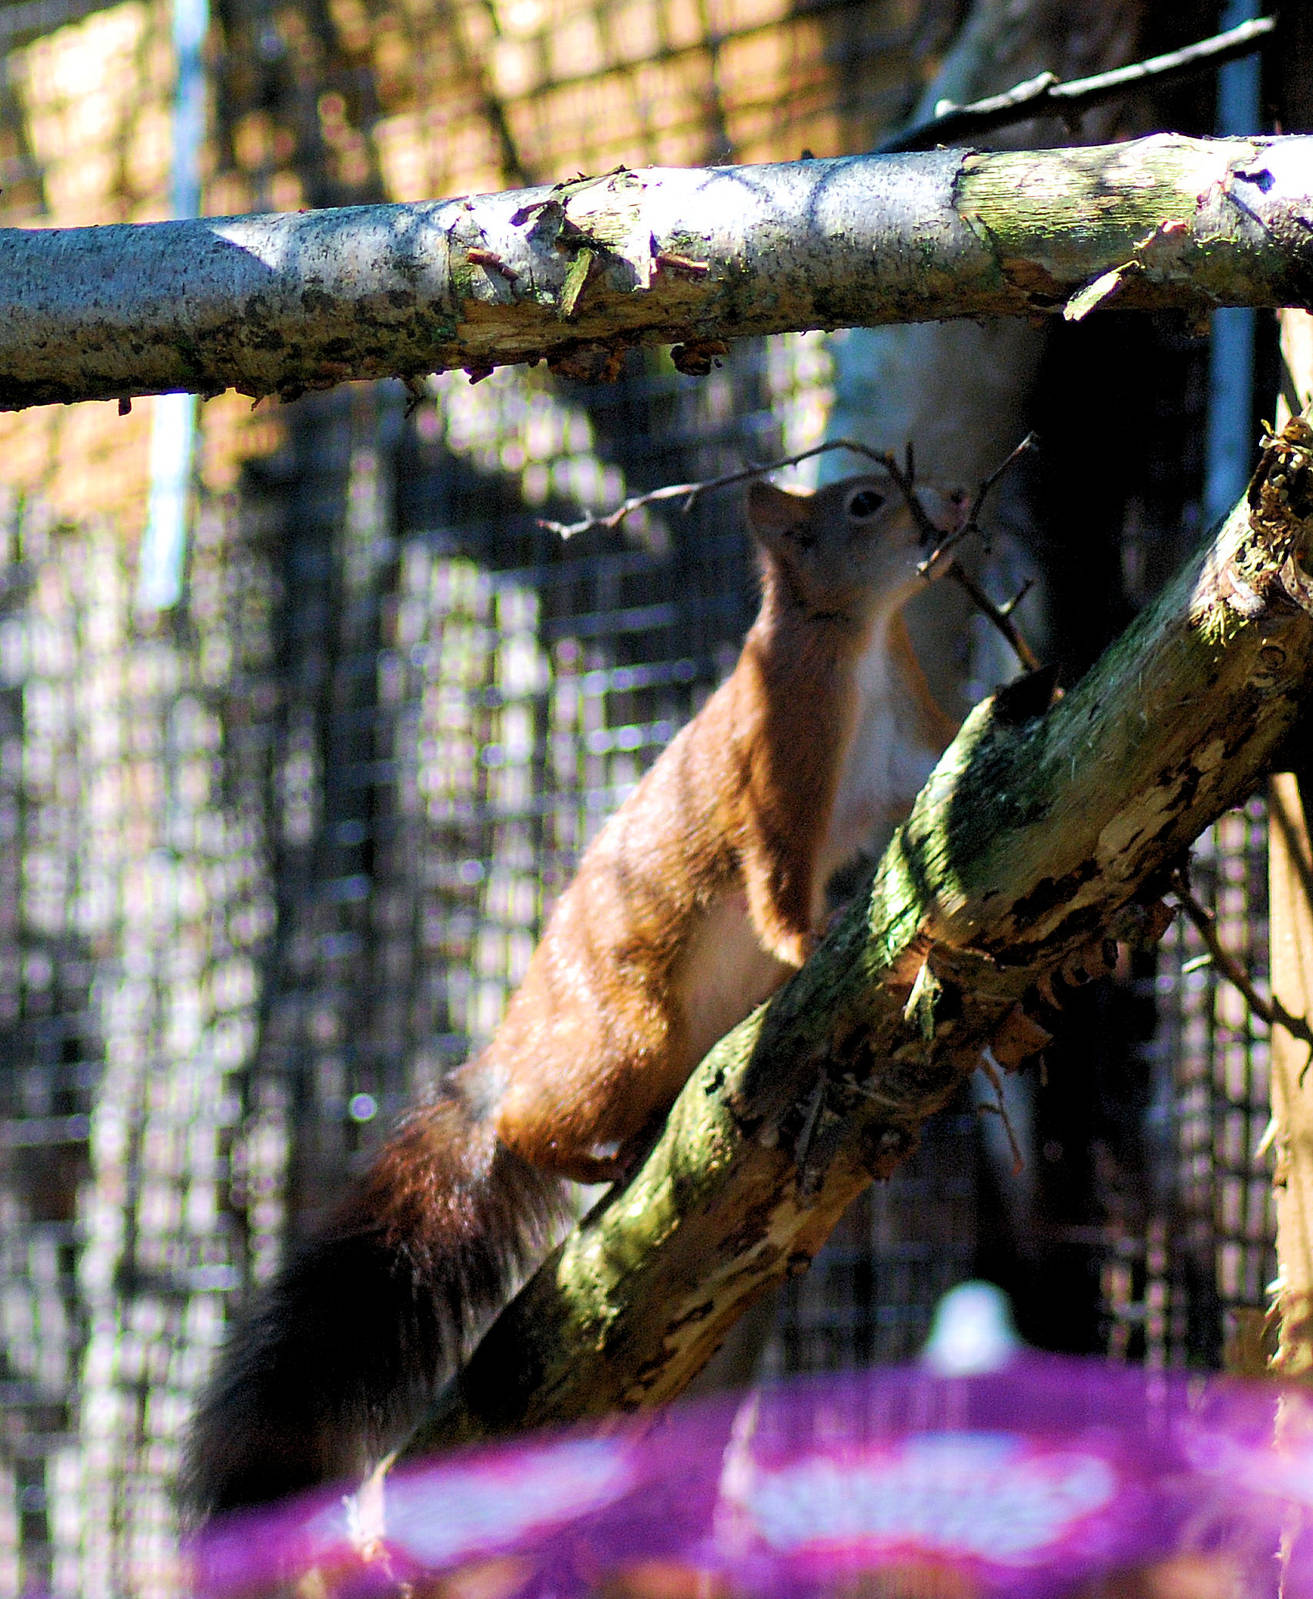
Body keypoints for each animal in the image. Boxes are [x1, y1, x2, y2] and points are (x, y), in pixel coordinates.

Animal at [182, 472, 962, 1520]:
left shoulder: (900, 748)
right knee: (525, 1123)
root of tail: (512, 1051)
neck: (865, 639)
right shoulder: (779, 758)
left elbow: (936, 772)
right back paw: (594, 1151)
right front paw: (807, 949)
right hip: (627, 1041)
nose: (944, 511)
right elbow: (772, 878)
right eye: (865, 501)